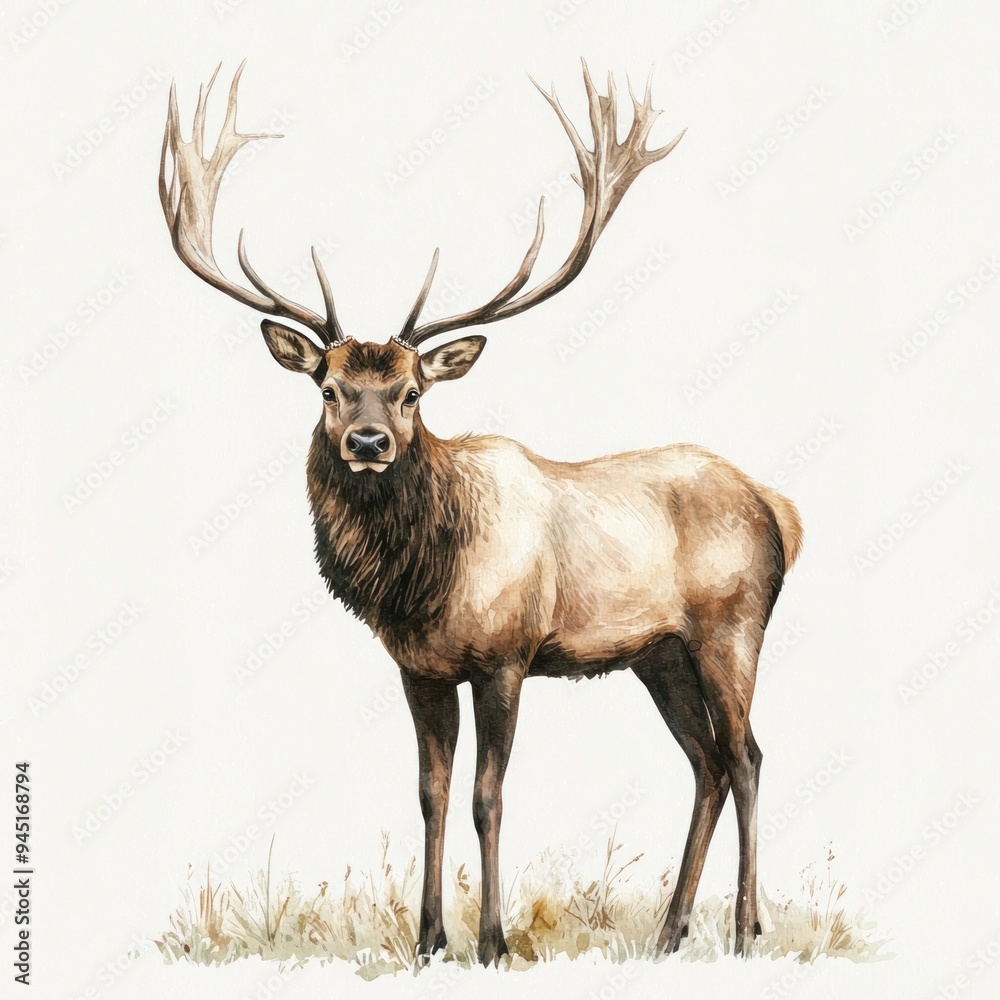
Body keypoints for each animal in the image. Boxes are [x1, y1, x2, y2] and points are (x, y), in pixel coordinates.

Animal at [159, 61, 802, 966]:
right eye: (329, 388)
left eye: (411, 393)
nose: (366, 442)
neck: (421, 582)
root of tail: (779, 508)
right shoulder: (420, 668)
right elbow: (430, 792)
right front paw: (429, 938)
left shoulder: (505, 655)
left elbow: (486, 796)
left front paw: (493, 940)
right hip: (659, 654)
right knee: (706, 763)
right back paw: (670, 931)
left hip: (731, 626)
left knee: (746, 754)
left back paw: (745, 928)